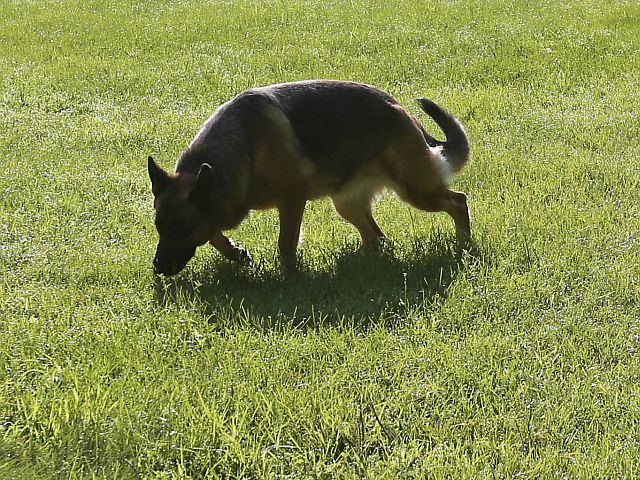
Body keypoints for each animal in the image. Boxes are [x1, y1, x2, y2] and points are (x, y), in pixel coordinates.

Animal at [149, 80, 470, 276]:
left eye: (183, 227)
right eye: (159, 227)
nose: (158, 267)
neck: (243, 148)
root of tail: (399, 107)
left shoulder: (292, 199)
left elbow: (285, 244)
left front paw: (289, 277)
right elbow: (215, 232)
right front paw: (236, 253)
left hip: (415, 189)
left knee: (458, 201)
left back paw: (464, 243)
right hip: (346, 204)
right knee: (377, 237)